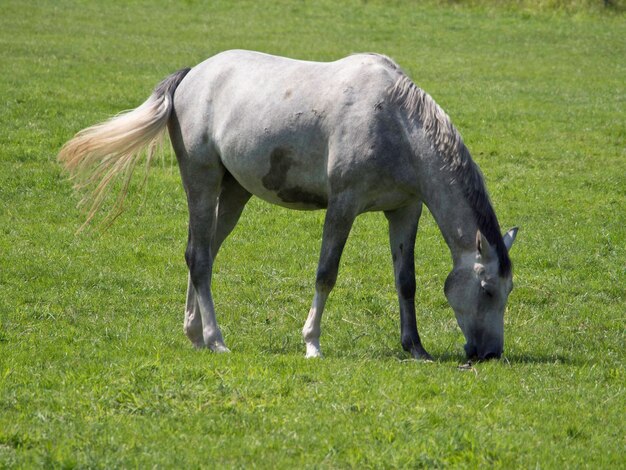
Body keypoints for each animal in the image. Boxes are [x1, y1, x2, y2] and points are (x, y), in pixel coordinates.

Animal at [58, 50, 516, 360]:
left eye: (508, 290)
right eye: (488, 289)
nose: (490, 353)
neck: (397, 123)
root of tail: (192, 75)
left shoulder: (405, 210)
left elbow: (406, 281)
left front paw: (415, 347)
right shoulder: (343, 205)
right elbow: (326, 273)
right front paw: (312, 343)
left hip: (234, 194)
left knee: (202, 252)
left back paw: (194, 334)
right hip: (201, 183)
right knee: (199, 258)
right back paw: (216, 340)